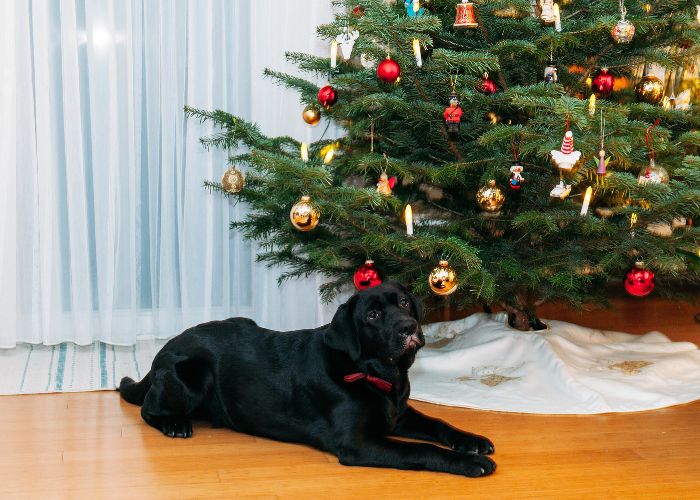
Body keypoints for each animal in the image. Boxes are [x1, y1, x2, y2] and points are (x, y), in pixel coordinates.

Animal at [119, 282, 492, 476]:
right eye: (372, 315)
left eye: (403, 302)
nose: (409, 327)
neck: (379, 375)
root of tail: (167, 346)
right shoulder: (358, 443)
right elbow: (422, 450)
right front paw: (471, 461)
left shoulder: (397, 414)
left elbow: (438, 424)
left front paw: (471, 440)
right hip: (193, 373)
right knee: (147, 408)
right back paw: (174, 424)